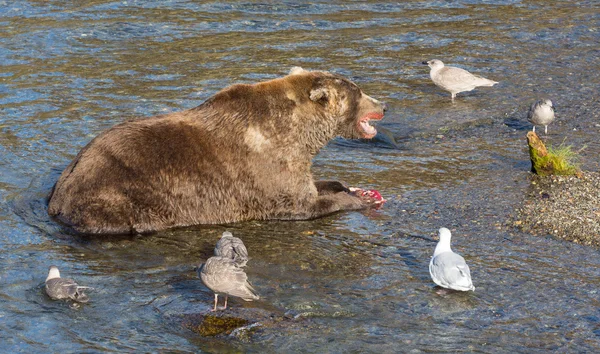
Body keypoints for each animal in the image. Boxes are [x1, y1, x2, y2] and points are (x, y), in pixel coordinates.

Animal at [47, 67, 384, 235]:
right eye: (358, 92)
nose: (382, 105)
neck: (299, 131)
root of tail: (57, 196)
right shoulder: (266, 166)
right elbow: (300, 204)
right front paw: (354, 200)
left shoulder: (293, 159)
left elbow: (314, 186)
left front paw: (347, 187)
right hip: (119, 196)